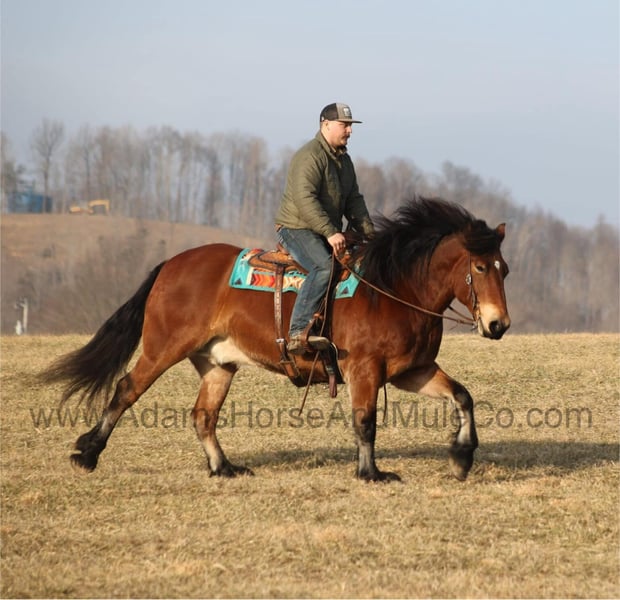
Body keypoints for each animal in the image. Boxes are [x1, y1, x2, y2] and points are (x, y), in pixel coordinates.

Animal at [42, 197, 510, 482]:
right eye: (480, 267)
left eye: (503, 268)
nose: (498, 324)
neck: (392, 288)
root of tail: (171, 264)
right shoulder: (364, 369)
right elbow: (365, 422)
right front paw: (371, 473)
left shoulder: (413, 371)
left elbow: (463, 396)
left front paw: (462, 457)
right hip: (163, 348)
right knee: (126, 389)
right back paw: (88, 453)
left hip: (218, 363)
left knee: (203, 416)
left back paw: (223, 467)